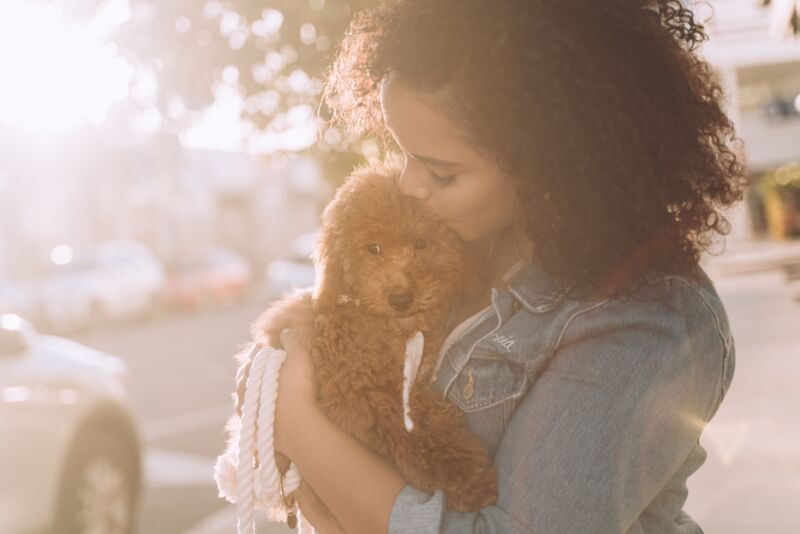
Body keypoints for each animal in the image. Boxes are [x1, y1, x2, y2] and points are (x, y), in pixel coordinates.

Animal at [219, 158, 494, 516]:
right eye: (373, 249)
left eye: (421, 244)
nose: (401, 299)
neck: (380, 325)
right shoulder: (353, 389)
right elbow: (405, 426)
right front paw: (468, 477)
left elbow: (418, 408)